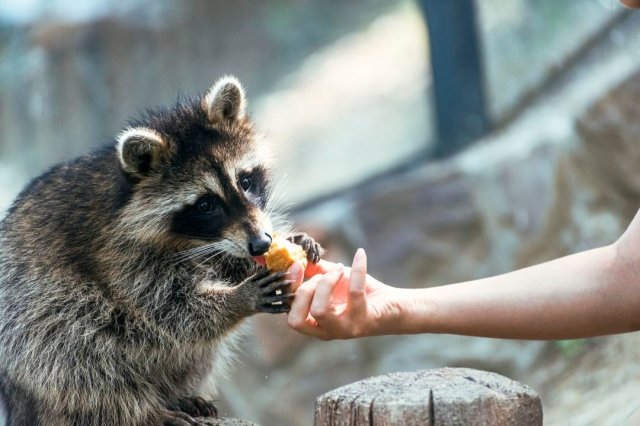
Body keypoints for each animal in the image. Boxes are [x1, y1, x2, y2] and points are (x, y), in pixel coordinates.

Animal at [0, 77, 322, 426]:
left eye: (246, 181)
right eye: (205, 205)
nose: (261, 243)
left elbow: (225, 263)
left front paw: (287, 245)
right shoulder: (119, 255)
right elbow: (169, 309)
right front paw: (236, 299)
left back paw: (178, 395)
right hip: (30, 324)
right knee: (78, 348)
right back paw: (140, 411)